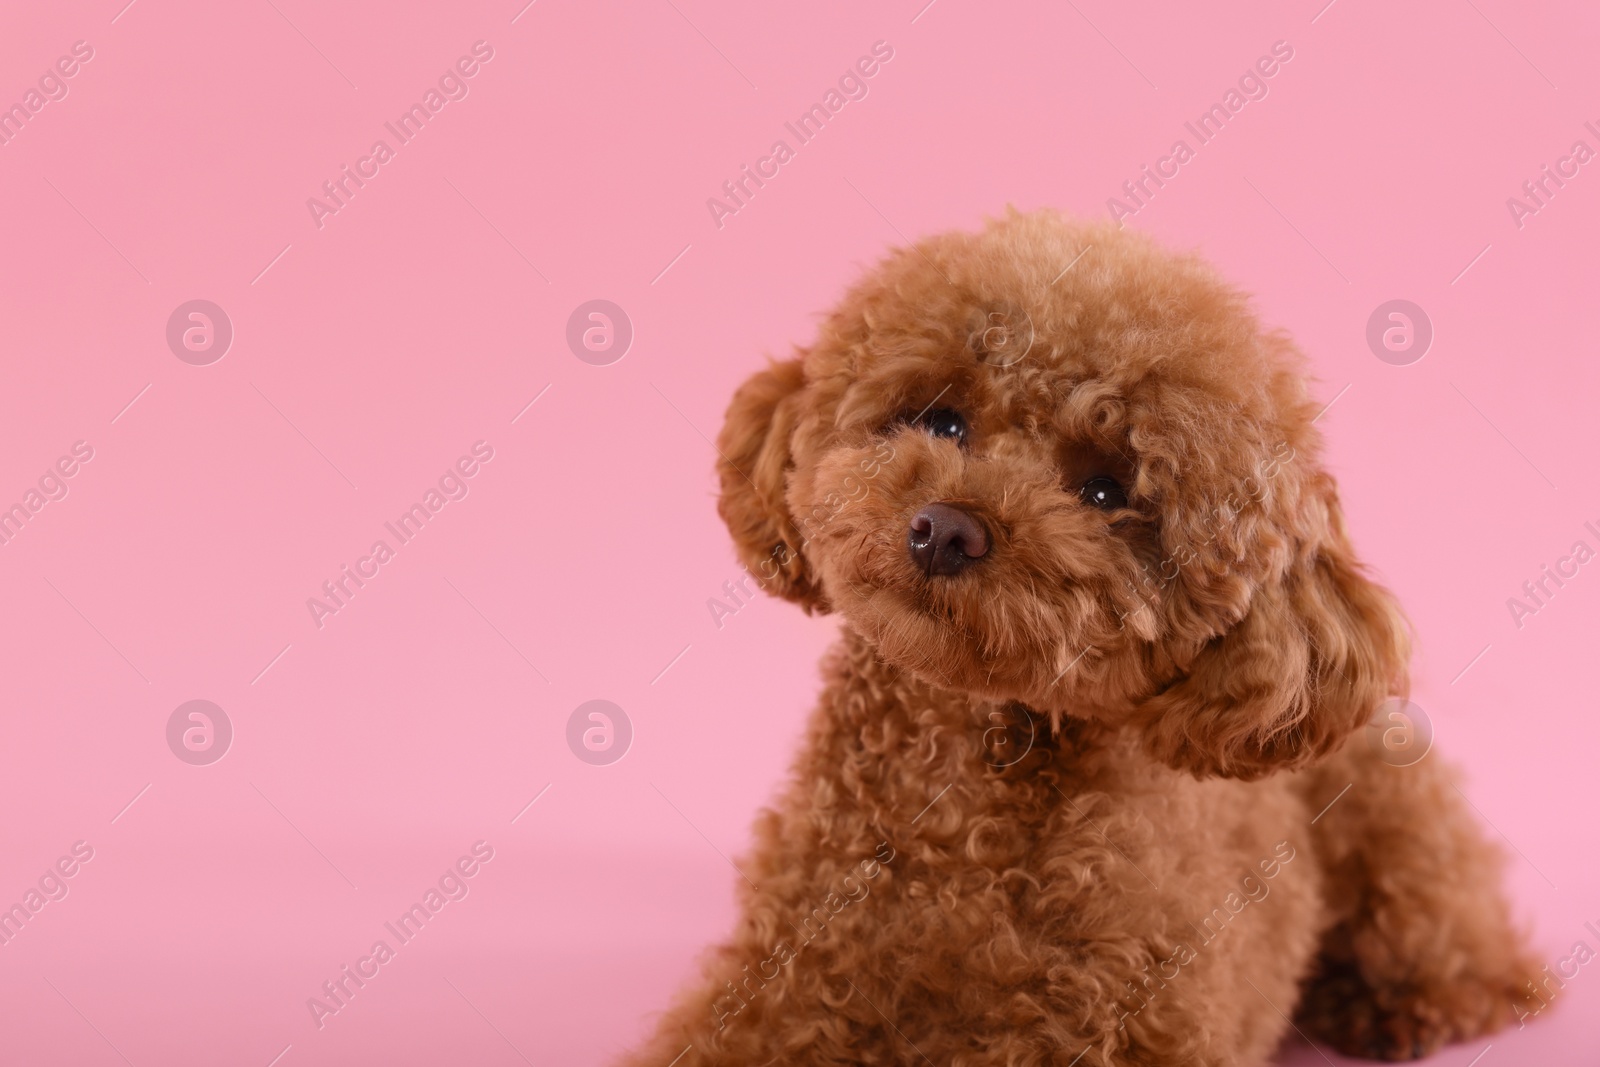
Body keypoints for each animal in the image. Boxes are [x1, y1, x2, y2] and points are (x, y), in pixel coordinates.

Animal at [617, 211, 1529, 1067]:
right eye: (941, 422)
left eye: (1104, 491)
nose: (947, 530)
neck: (958, 809)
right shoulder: (776, 988)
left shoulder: (1125, 1020)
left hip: (1402, 835)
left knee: (1477, 958)